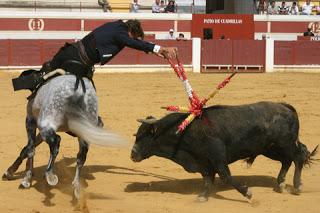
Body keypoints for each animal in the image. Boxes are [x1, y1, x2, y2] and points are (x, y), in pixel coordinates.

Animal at [130, 101, 318, 201]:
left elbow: (226, 176)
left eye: (142, 135)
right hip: (270, 148)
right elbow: (208, 179)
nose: (132, 154)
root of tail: (285, 106)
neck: (184, 131)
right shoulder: (204, 162)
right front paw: (203, 196)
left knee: (298, 156)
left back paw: (297, 186)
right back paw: (280, 184)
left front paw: (247, 192)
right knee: (287, 160)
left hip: (284, 144)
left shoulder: (217, 158)